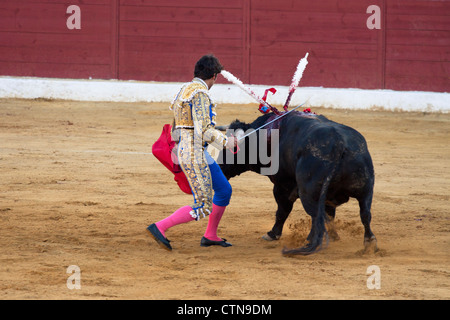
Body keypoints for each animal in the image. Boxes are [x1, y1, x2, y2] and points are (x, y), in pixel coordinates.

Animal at [218, 111, 376, 256]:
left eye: (230, 148)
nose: (219, 165)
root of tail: (339, 143)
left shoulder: (282, 186)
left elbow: (283, 210)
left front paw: (272, 234)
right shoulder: (329, 198)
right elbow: (330, 215)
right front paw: (334, 236)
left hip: (308, 193)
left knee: (316, 215)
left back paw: (310, 241)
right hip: (366, 189)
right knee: (365, 214)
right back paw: (369, 243)